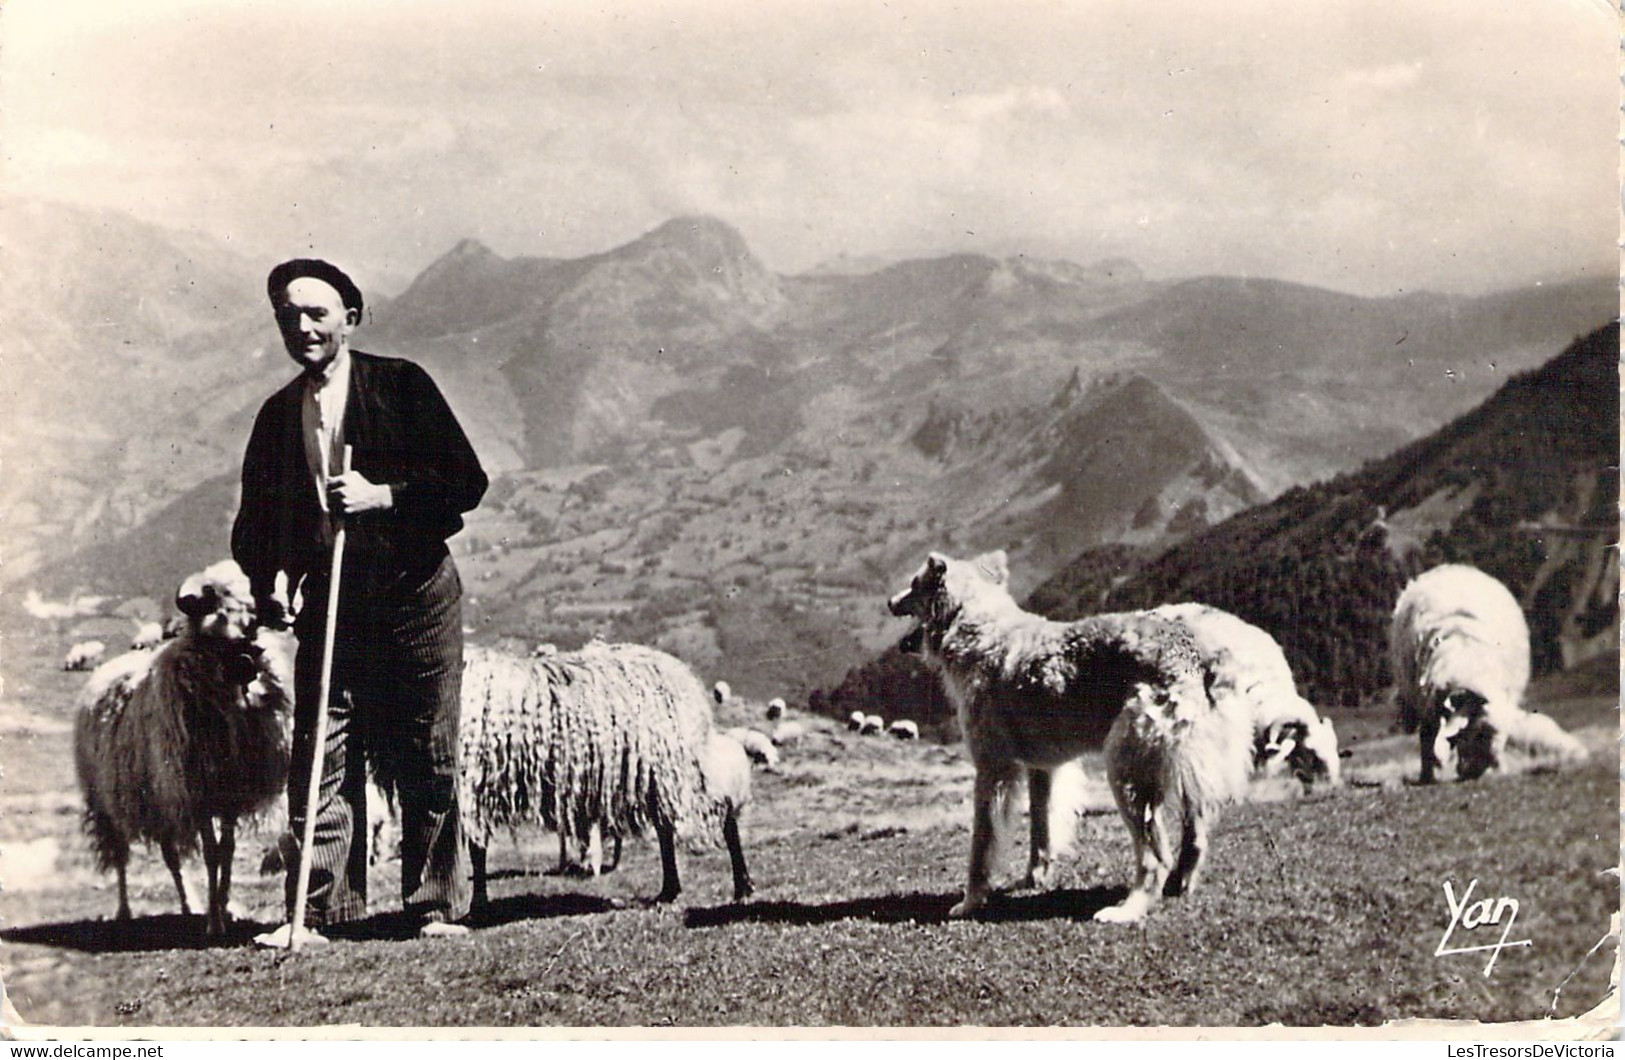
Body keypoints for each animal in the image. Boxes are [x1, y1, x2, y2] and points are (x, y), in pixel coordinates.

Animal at [71, 562, 290, 936]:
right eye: (219, 594)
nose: (276, 610)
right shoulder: (197, 792)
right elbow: (212, 854)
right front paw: (215, 922)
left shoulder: (229, 794)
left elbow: (227, 851)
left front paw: (223, 906)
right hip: (107, 800)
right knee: (120, 855)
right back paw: (124, 910)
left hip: (158, 799)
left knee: (171, 857)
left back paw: (189, 905)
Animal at [458, 640, 754, 903]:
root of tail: (683, 677)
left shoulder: (472, 786)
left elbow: (477, 851)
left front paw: (478, 905)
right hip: (656, 776)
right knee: (666, 828)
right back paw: (670, 890)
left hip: (674, 766)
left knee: (723, 808)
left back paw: (742, 885)